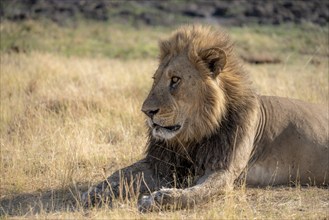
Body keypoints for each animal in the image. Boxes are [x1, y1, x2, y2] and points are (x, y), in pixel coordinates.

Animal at [81, 24, 326, 211]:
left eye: (175, 80)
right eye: (155, 79)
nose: (147, 111)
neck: (192, 136)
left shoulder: (224, 169)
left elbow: (198, 192)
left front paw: (159, 198)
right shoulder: (162, 164)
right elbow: (121, 173)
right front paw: (94, 192)